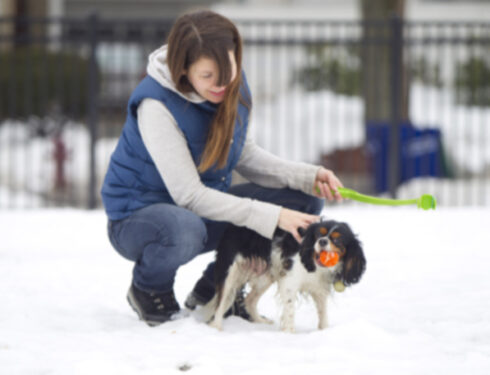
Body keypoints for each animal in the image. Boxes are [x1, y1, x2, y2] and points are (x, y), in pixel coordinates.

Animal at [205, 220, 366, 332]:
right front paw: (289, 333)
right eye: (319, 235)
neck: (315, 265)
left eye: (337, 240)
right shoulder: (290, 282)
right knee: (221, 302)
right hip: (230, 270)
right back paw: (216, 327)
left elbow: (323, 311)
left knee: (249, 300)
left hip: (266, 275)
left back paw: (259, 321)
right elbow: (289, 310)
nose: (322, 241)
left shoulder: (319, 287)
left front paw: (324, 330)